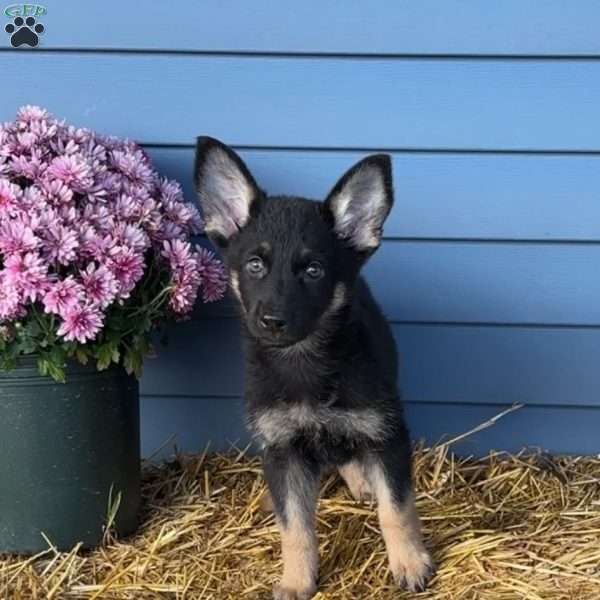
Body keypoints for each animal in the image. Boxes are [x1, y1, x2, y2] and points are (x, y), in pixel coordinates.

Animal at [195, 137, 434, 600]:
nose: (271, 321)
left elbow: (397, 508)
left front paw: (410, 563)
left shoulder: (388, 435)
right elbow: (295, 527)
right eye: (254, 265)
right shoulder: (282, 446)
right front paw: (297, 580)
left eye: (313, 270)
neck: (305, 362)